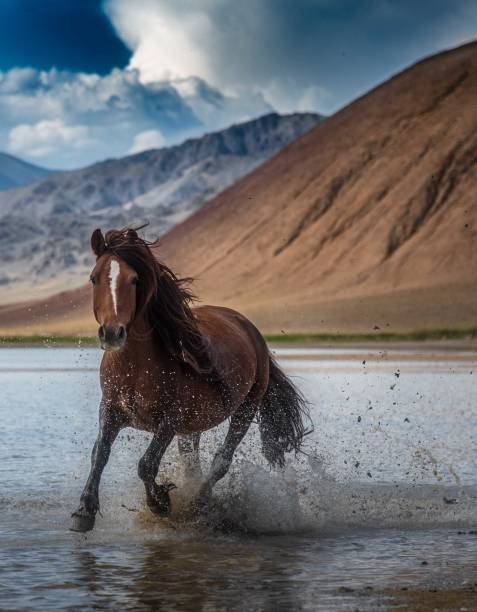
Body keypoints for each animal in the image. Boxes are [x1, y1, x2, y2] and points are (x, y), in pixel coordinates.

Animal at [70, 227, 308, 532]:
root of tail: (250, 330)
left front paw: (160, 502)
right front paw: (84, 511)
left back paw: (200, 504)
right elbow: (99, 453)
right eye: (94, 278)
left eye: (135, 280)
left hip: (246, 408)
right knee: (191, 461)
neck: (135, 369)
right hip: (194, 425)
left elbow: (146, 464)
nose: (112, 333)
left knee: (222, 460)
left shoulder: (170, 420)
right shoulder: (110, 410)